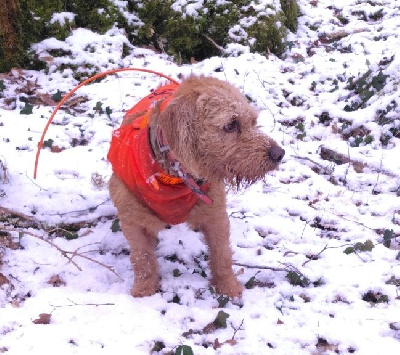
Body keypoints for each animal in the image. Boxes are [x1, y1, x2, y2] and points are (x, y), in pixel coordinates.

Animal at [108, 76, 284, 298]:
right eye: (231, 125)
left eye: (253, 122)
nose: (279, 154)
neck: (175, 177)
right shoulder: (132, 221)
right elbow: (142, 258)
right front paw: (144, 290)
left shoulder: (216, 216)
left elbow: (222, 254)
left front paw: (228, 287)